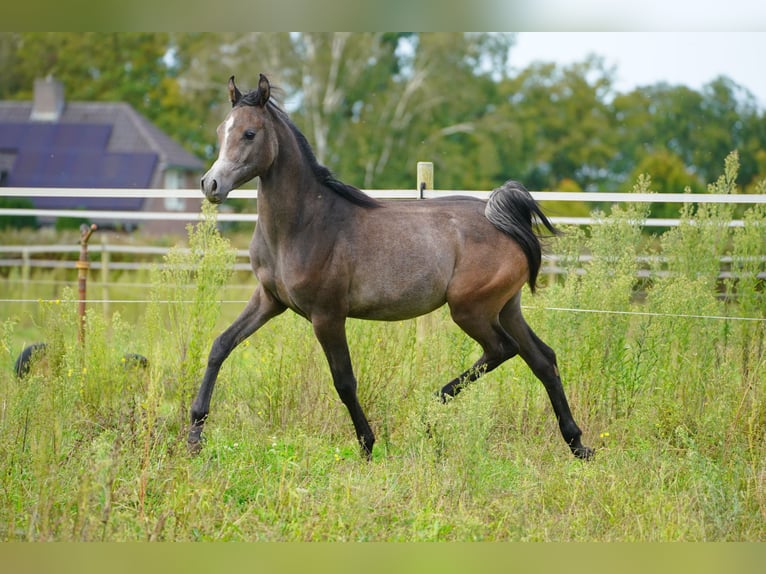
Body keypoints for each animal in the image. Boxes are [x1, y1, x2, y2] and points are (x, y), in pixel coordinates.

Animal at [190, 75, 592, 464]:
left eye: (249, 133)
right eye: (221, 130)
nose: (211, 184)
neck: (303, 225)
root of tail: (505, 221)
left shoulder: (327, 314)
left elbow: (344, 381)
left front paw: (367, 445)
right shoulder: (269, 300)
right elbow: (220, 345)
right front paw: (195, 435)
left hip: (471, 309)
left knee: (501, 350)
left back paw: (428, 414)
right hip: (506, 307)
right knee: (542, 358)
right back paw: (577, 444)